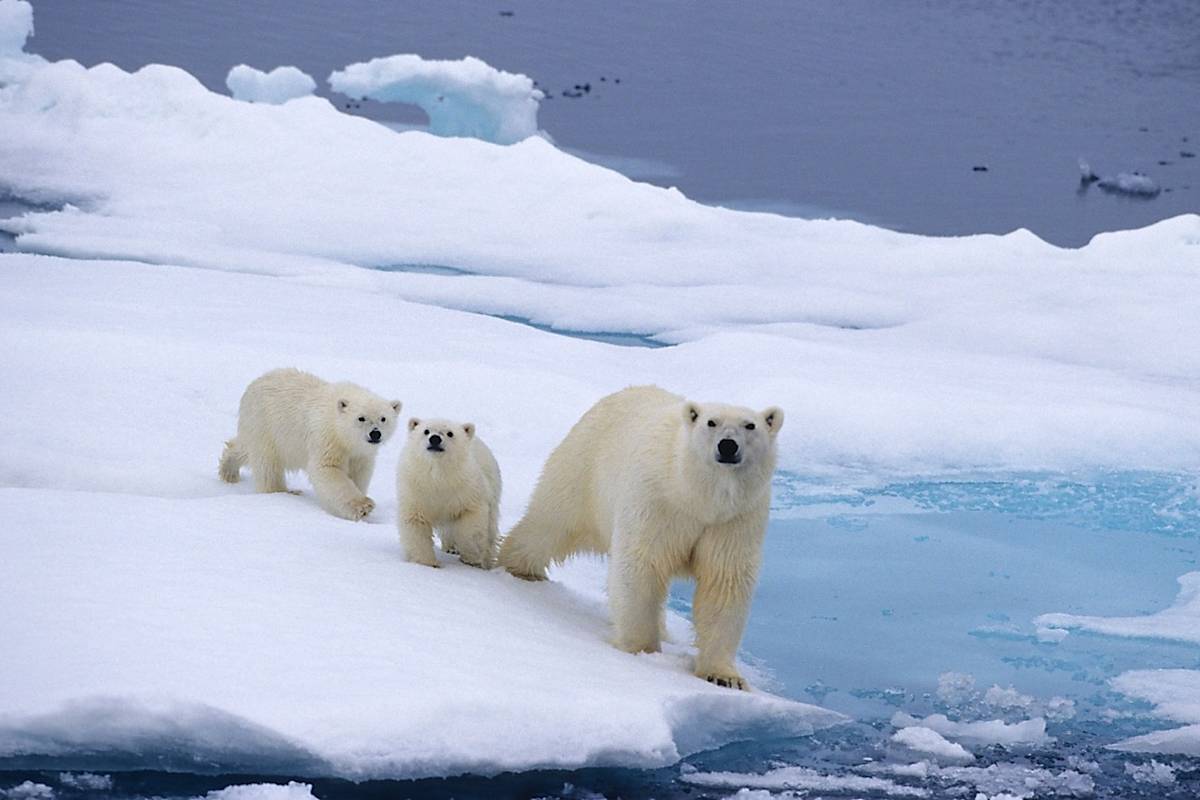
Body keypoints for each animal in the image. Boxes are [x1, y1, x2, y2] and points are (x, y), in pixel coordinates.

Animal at [218, 368, 400, 520]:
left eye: (383, 418)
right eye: (361, 418)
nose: (375, 434)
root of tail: (253, 384)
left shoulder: (360, 453)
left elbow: (359, 472)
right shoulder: (326, 437)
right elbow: (327, 469)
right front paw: (362, 506)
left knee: (245, 448)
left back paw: (229, 471)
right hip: (265, 424)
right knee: (267, 464)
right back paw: (282, 491)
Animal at [396, 417, 502, 569]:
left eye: (450, 433)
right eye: (426, 431)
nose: (435, 439)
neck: (439, 477)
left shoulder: (467, 490)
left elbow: (471, 523)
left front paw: (471, 558)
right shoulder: (416, 491)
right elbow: (415, 522)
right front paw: (428, 562)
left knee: (490, 529)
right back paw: (450, 547)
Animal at [499, 385, 783, 690]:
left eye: (750, 425)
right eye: (711, 422)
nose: (728, 446)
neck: (696, 496)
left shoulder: (735, 519)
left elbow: (724, 580)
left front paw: (724, 676)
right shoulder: (657, 501)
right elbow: (642, 564)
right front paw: (642, 651)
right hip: (584, 468)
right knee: (550, 522)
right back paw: (520, 568)